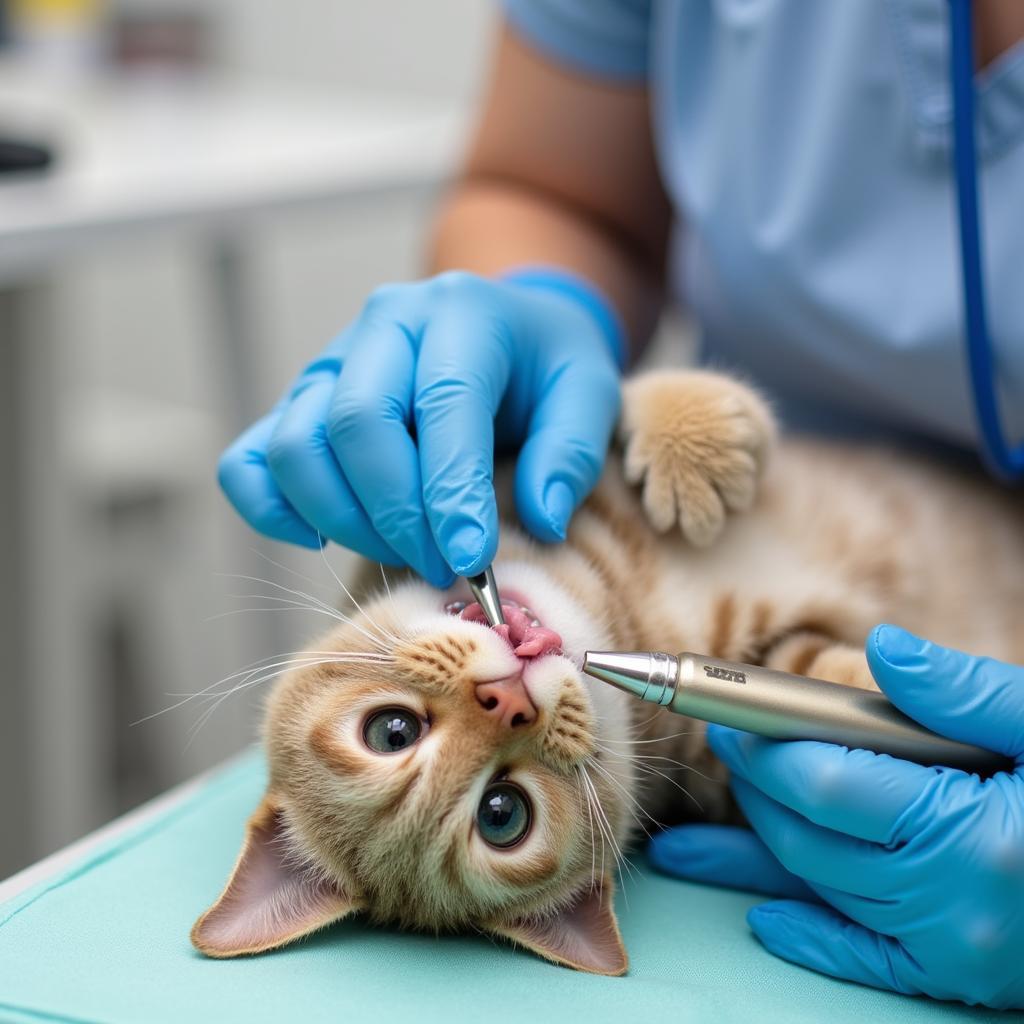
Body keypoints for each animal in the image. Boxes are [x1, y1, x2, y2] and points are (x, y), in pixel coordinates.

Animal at [190, 368, 1024, 974]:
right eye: (503, 815)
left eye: (389, 730)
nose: (502, 701)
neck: (623, 599)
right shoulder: (750, 693)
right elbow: (819, 674)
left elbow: (611, 395)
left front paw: (693, 441)